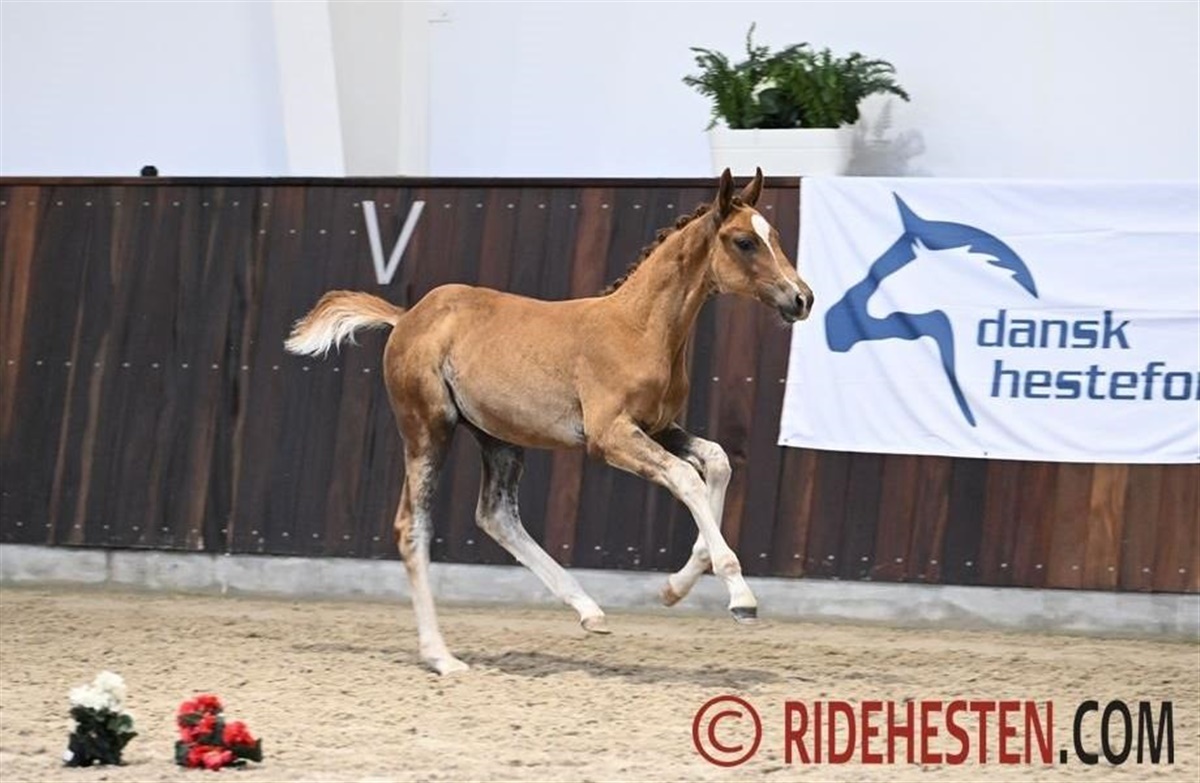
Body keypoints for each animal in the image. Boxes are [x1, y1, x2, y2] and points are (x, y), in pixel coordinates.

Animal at [285, 168, 813, 674]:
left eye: (775, 234)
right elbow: (686, 477)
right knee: (411, 526)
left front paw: (674, 587)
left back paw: (589, 611)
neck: (639, 328)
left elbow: (718, 462)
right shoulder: (610, 436)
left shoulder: (658, 427)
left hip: (497, 437)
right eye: (744, 241)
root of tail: (408, 316)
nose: (802, 298)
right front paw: (741, 597)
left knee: (496, 515)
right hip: (427, 428)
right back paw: (441, 657)